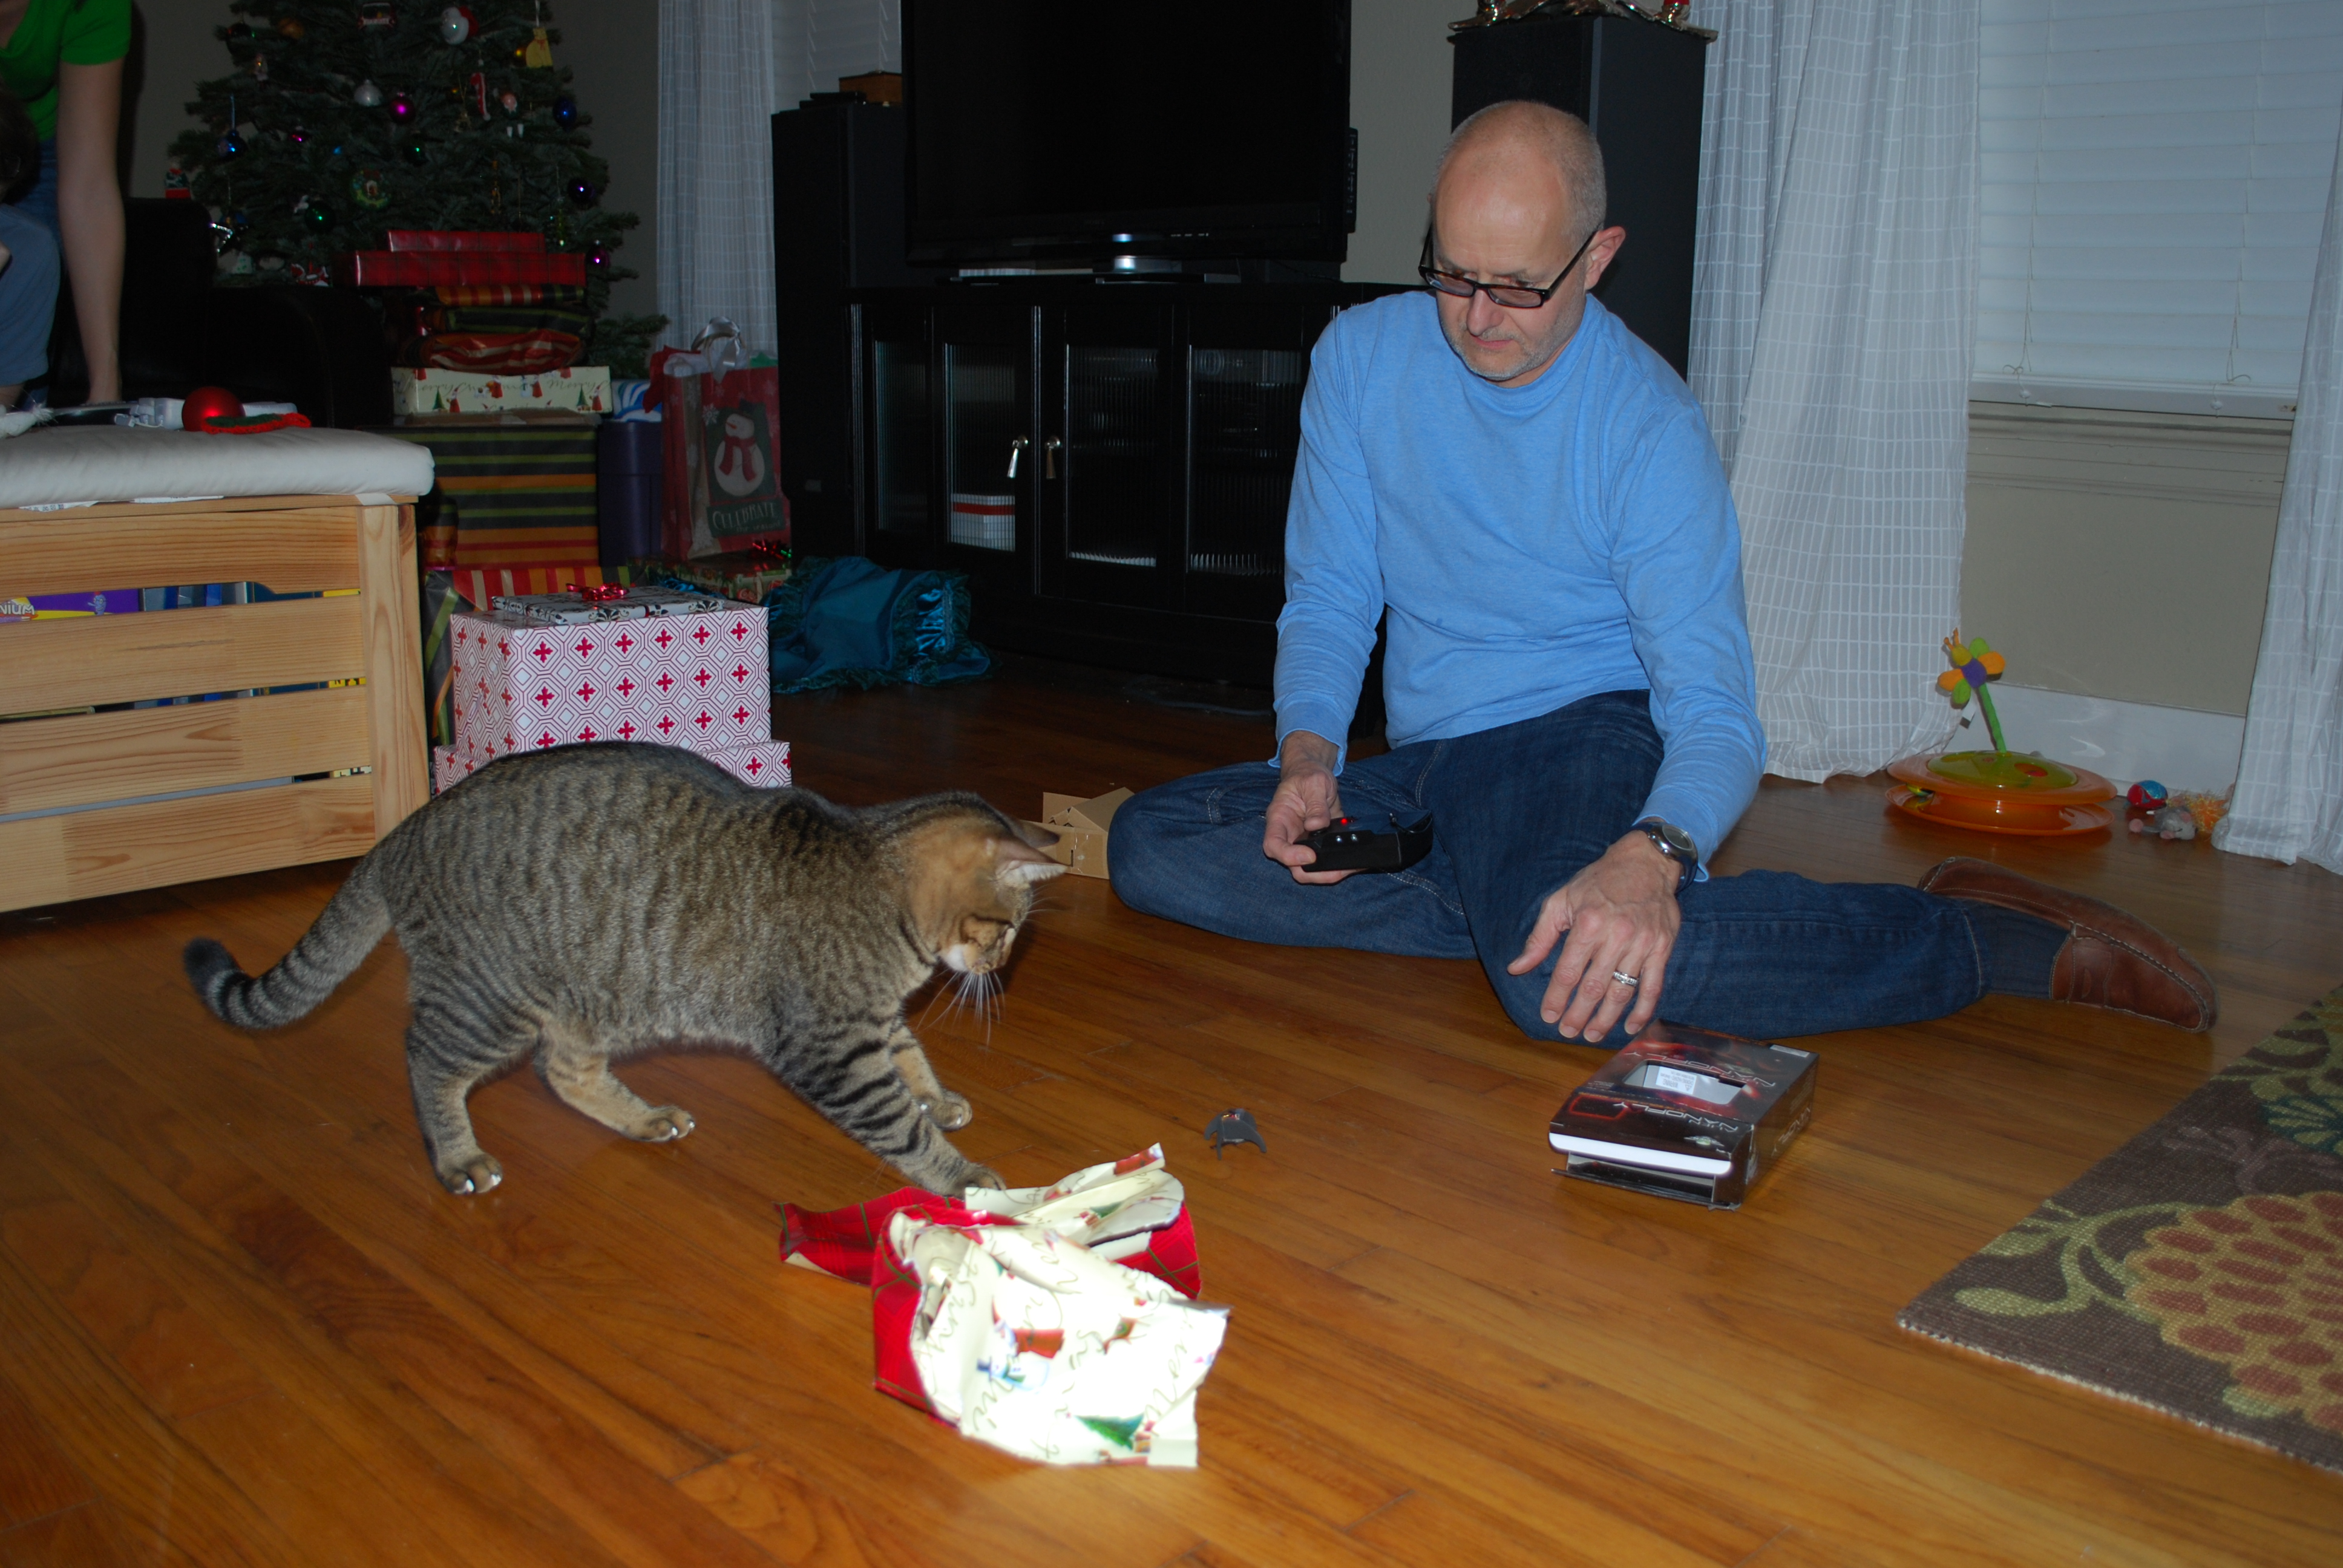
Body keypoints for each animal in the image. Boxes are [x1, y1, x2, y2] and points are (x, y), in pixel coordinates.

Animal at [184, 743, 1064, 1197]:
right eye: (1010, 929)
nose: (1003, 964)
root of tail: (400, 830)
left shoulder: (871, 1023)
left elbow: (912, 1061)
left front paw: (938, 1098)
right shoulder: (829, 1043)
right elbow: (897, 1122)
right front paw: (961, 1175)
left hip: (591, 999)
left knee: (563, 1073)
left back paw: (642, 1120)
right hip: (487, 1001)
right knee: (426, 1060)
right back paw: (458, 1157)